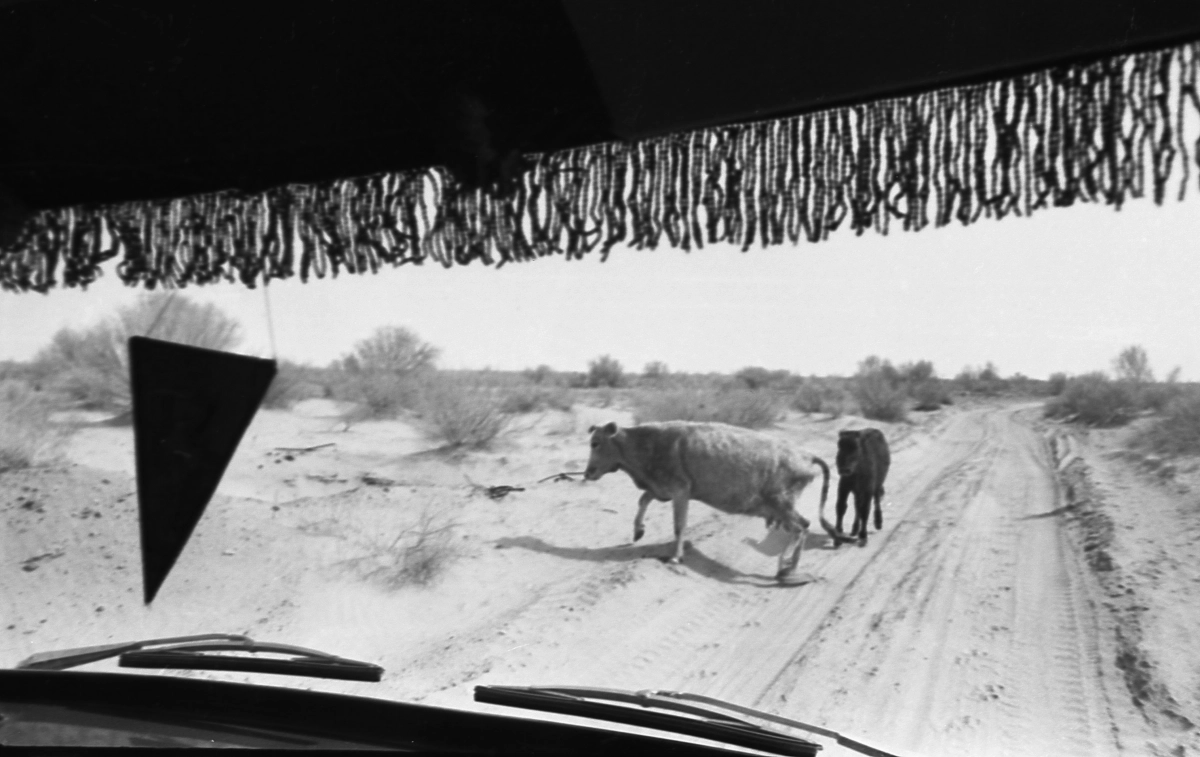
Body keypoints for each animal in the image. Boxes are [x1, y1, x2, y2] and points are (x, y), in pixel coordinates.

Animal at [583, 417, 854, 583]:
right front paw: (638, 531)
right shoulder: (662, 488)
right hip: (782, 507)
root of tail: (807, 455)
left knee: (800, 528)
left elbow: (679, 525)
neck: (646, 443)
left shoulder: (680, 491)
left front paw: (675, 557)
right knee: (804, 526)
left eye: (595, 443)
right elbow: (643, 500)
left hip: (782, 504)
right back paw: (791, 569)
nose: (587, 473)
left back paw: (784, 569)